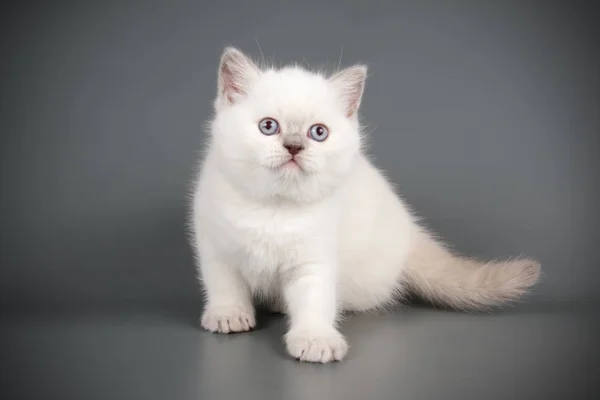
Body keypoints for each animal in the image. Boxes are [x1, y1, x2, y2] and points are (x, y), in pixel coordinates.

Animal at [190, 46, 540, 362]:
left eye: (318, 133)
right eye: (268, 126)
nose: (294, 146)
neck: (275, 208)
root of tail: (408, 230)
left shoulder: (316, 259)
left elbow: (315, 298)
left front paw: (316, 339)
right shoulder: (214, 244)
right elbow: (224, 283)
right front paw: (228, 314)